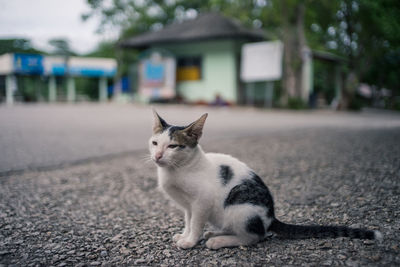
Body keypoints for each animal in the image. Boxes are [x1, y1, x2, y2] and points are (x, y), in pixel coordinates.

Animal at [148, 110, 382, 250]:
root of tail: (270, 216)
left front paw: (190, 241)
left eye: (173, 146)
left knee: (254, 237)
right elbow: (189, 221)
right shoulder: (188, 205)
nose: (157, 156)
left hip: (239, 207)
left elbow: (196, 223)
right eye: (154, 143)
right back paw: (218, 231)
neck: (178, 170)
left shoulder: (202, 201)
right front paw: (184, 235)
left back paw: (219, 240)